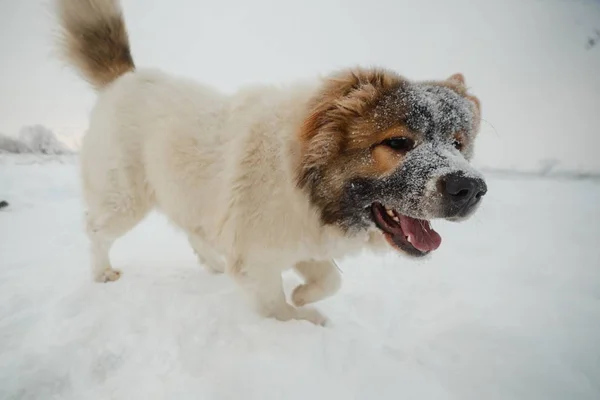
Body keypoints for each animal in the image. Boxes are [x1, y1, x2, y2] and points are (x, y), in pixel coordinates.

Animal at [54, 0, 488, 324]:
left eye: (458, 143)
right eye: (398, 142)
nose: (470, 188)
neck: (303, 178)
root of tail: (125, 78)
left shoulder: (304, 240)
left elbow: (330, 280)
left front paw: (303, 295)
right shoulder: (258, 258)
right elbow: (276, 307)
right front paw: (303, 319)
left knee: (194, 231)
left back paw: (213, 263)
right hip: (123, 199)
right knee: (96, 230)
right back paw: (101, 272)